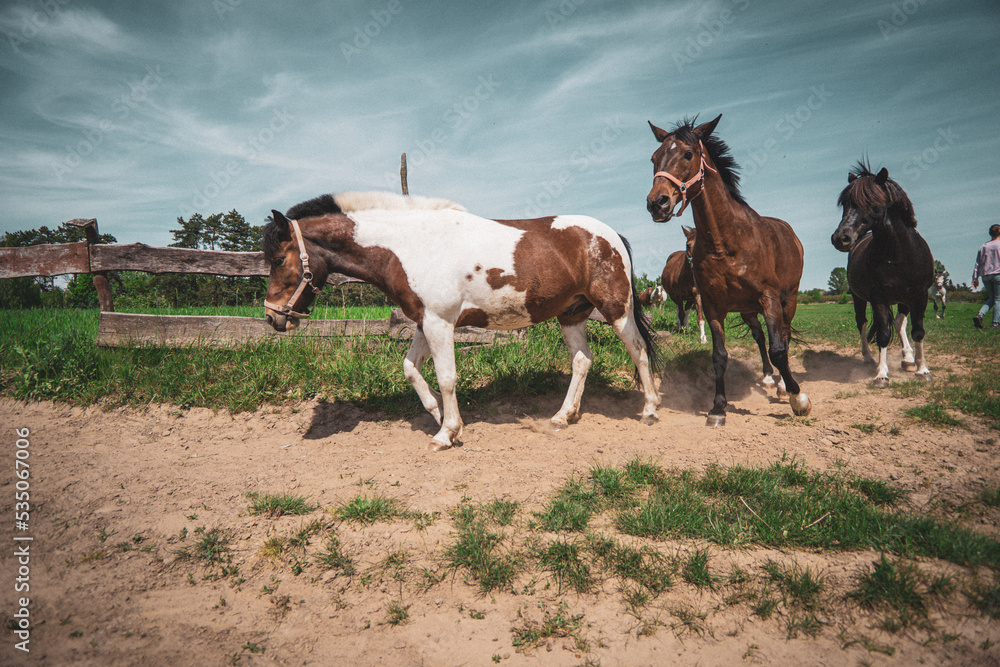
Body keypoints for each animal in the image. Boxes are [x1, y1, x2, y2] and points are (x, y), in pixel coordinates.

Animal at [262, 191, 661, 450]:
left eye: (279, 259)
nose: (272, 317)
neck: (412, 245)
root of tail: (612, 235)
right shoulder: (423, 322)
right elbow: (410, 369)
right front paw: (437, 414)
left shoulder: (440, 323)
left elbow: (447, 378)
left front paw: (446, 433)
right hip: (572, 314)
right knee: (582, 361)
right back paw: (564, 416)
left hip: (616, 309)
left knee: (638, 350)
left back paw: (650, 409)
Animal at [646, 115, 810, 427]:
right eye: (654, 158)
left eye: (688, 154)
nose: (656, 203)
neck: (726, 243)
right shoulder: (713, 305)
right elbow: (719, 355)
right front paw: (718, 407)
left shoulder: (770, 298)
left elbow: (779, 350)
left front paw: (798, 398)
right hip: (747, 309)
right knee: (760, 337)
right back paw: (768, 378)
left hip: (789, 299)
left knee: (782, 335)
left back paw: (783, 386)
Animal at [831, 162, 933, 387]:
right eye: (845, 204)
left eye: (870, 202)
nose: (841, 238)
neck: (899, 254)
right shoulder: (878, 297)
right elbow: (883, 335)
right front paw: (881, 374)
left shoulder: (920, 295)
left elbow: (918, 331)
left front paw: (922, 369)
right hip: (859, 297)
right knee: (862, 323)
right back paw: (869, 357)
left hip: (903, 299)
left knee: (899, 322)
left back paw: (908, 358)